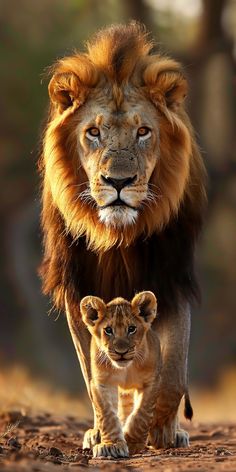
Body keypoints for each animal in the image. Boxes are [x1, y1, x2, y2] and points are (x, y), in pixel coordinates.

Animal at [40, 22, 206, 448]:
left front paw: (160, 431)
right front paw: (105, 434)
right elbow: (92, 373)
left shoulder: (169, 279)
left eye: (144, 131)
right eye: (93, 132)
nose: (118, 182)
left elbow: (171, 372)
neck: (117, 236)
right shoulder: (79, 286)